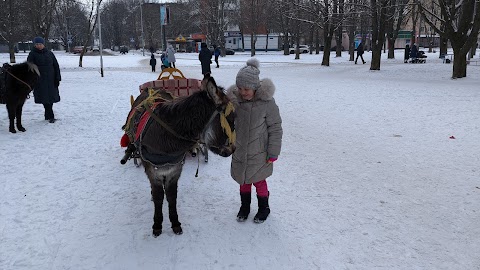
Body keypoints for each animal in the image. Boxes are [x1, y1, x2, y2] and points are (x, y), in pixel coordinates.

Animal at [123, 74, 235, 236]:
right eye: (232, 119)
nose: (232, 149)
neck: (167, 140)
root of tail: (150, 89)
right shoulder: (153, 172)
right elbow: (159, 197)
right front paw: (157, 224)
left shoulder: (175, 171)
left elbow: (172, 197)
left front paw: (175, 223)